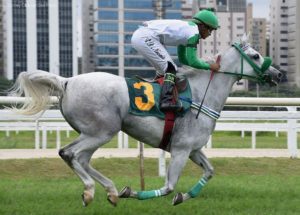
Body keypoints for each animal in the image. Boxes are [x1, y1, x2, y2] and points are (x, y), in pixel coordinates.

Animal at [8, 35, 282, 207]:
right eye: (256, 55)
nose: (278, 74)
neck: (200, 94)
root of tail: (66, 81)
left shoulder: (193, 149)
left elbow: (210, 171)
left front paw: (184, 196)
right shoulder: (181, 149)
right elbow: (169, 186)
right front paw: (133, 192)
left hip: (93, 133)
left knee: (81, 159)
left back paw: (109, 191)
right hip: (101, 131)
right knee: (69, 153)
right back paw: (91, 191)